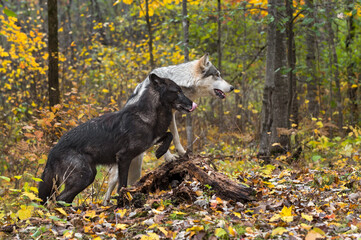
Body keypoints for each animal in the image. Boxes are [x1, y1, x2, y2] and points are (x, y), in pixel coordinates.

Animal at [38, 73, 195, 204]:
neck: (145, 115)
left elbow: (169, 134)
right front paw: (122, 201)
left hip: (87, 175)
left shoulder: (150, 141)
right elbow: (122, 185)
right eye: (178, 91)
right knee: (60, 198)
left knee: (64, 199)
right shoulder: (123, 157)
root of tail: (52, 151)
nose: (192, 104)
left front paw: (161, 151)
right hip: (84, 176)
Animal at [104, 53, 233, 203]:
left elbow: (174, 137)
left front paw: (183, 153)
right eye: (217, 75)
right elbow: (170, 136)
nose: (232, 87)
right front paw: (169, 157)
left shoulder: (171, 115)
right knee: (110, 187)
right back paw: (106, 203)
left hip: (135, 168)